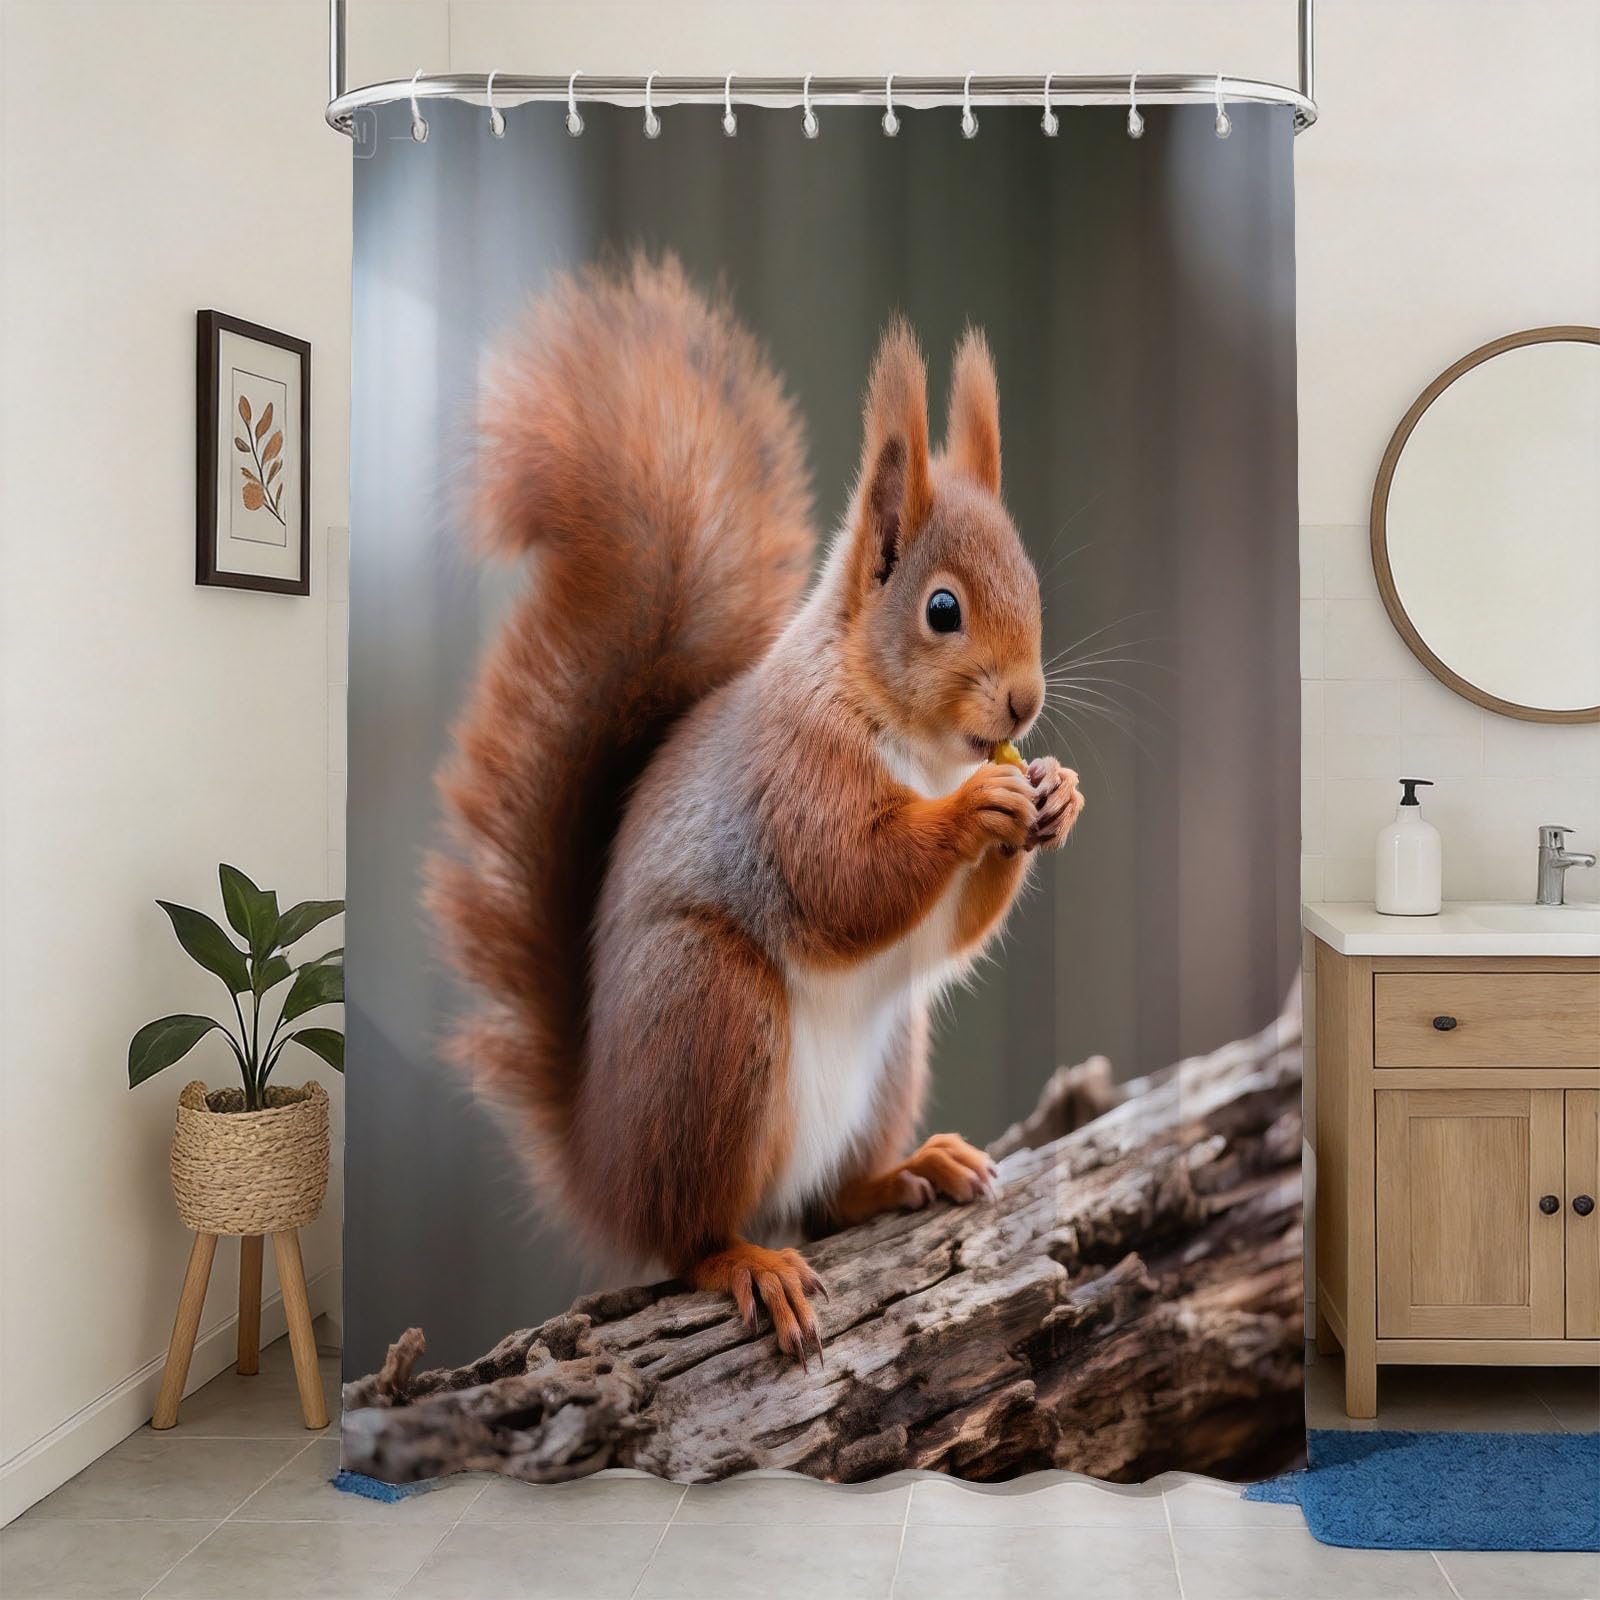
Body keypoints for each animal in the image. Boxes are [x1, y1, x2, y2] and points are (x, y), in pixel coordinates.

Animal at [430, 254, 1084, 1365]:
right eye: (941, 609)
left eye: (1033, 585)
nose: (1023, 704)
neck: (909, 744)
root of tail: (600, 1163)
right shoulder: (791, 780)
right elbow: (847, 882)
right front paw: (980, 808)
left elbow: (945, 931)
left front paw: (1055, 795)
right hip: (709, 1012)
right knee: (692, 1230)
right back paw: (744, 1262)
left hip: (889, 1051)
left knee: (823, 1200)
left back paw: (905, 1171)